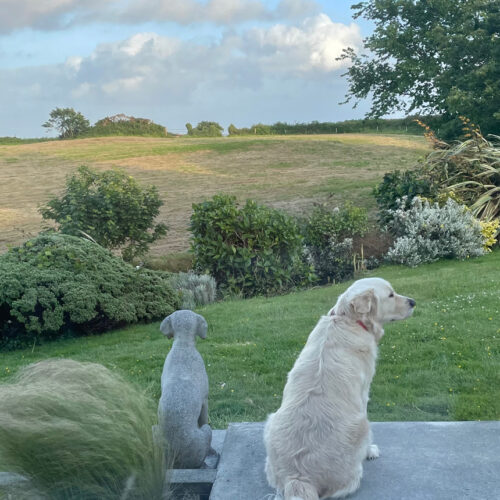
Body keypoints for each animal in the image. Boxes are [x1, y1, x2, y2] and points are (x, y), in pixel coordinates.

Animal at [264, 277, 415, 500]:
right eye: (390, 295)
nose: (413, 302)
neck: (348, 320)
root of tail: (298, 478)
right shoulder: (363, 393)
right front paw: (370, 450)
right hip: (361, 426)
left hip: (271, 422)